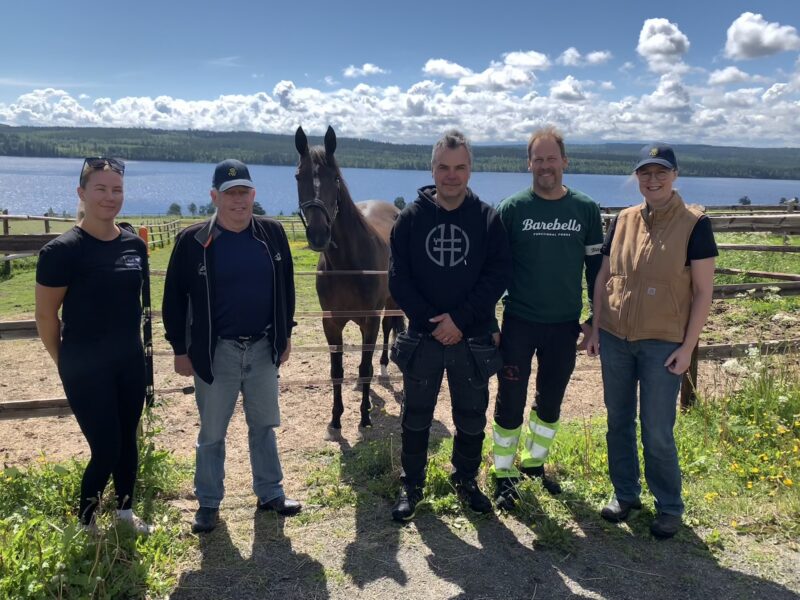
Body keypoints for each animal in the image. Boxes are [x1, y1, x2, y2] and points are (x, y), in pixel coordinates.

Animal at [294, 124, 404, 438]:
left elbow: (365, 367)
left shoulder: (370, 318)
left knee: (389, 329)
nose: (319, 234)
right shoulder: (331, 322)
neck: (347, 263)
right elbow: (337, 371)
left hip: (390, 304)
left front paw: (364, 417)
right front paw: (335, 420)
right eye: (298, 176)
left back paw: (384, 367)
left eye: (334, 178)